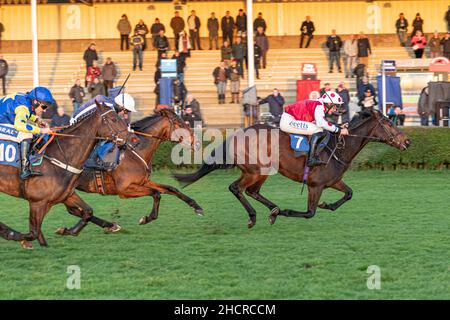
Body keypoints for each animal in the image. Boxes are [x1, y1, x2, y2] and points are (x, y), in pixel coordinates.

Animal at [0, 101, 134, 249]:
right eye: (113, 119)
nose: (133, 138)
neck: (59, 156)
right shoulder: (37, 202)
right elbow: (32, 233)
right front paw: (10, 234)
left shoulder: (67, 195)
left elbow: (87, 212)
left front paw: (66, 230)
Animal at [55, 107, 203, 235]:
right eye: (179, 123)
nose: (197, 143)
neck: (135, 150)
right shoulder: (124, 189)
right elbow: (156, 194)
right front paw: (146, 218)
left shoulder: (143, 182)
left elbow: (171, 189)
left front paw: (197, 207)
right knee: (76, 210)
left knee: (75, 210)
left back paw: (109, 225)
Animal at [175, 109, 412, 228]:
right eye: (389, 124)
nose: (408, 142)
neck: (339, 147)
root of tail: (239, 133)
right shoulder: (316, 185)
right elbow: (309, 212)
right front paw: (288, 211)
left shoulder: (333, 181)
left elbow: (349, 194)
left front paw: (328, 205)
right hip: (255, 170)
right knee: (237, 188)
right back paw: (256, 215)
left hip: (261, 171)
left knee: (252, 191)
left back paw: (273, 210)